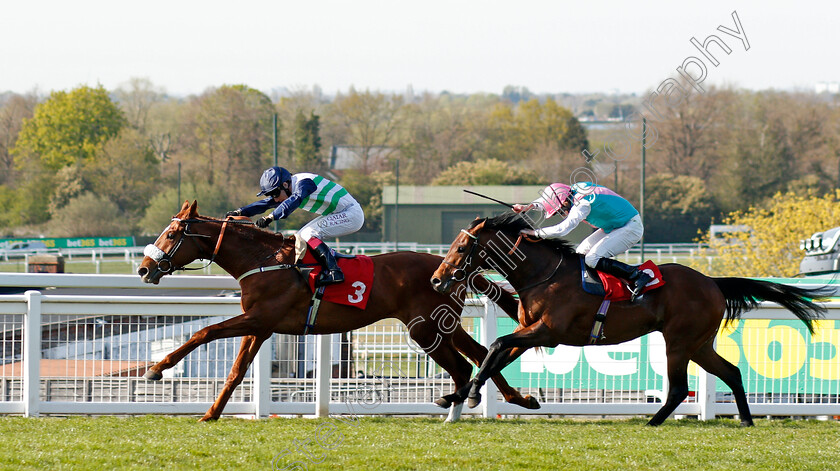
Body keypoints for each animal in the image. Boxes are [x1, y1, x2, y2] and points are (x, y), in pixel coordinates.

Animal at [136, 201, 540, 422]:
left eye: (171, 235)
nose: (143, 268)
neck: (263, 260)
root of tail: (448, 267)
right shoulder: (261, 327)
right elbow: (236, 372)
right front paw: (211, 413)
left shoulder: (258, 318)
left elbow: (203, 332)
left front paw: (156, 369)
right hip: (446, 324)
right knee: (481, 352)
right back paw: (517, 398)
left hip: (425, 328)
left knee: (462, 364)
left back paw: (459, 404)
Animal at [430, 212, 824, 426]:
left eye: (462, 248)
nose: (436, 279)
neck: (544, 273)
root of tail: (712, 281)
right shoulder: (530, 331)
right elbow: (494, 356)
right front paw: (458, 397)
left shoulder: (547, 332)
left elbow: (496, 345)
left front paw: (471, 396)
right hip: (698, 344)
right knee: (732, 372)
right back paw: (745, 419)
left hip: (679, 342)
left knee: (679, 388)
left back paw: (653, 421)